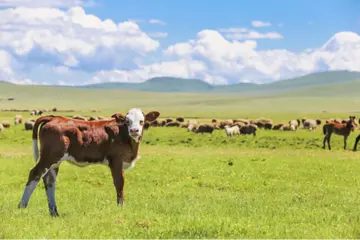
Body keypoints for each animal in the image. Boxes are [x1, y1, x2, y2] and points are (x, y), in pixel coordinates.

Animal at [17, 108, 160, 217]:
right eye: (127, 121)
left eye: (142, 121)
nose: (134, 130)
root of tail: (54, 117)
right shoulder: (116, 161)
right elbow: (119, 183)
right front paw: (121, 207)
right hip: (49, 156)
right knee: (35, 174)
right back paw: (22, 206)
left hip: (54, 161)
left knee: (49, 181)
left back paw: (54, 212)